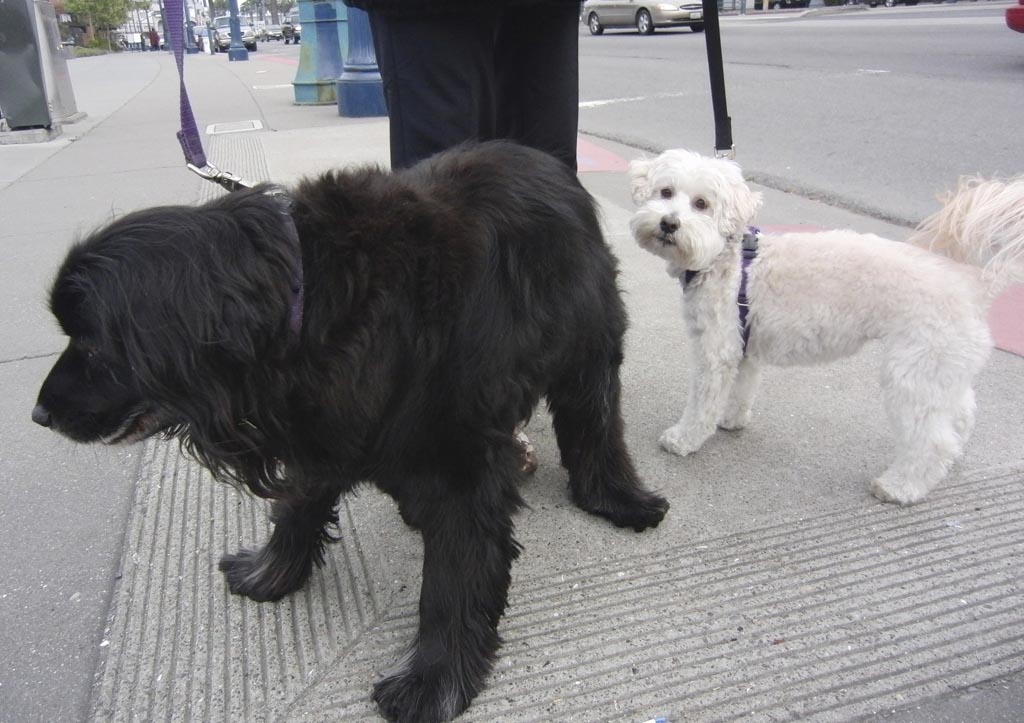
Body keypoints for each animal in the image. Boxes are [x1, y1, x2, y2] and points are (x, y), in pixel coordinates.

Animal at [32, 139, 667, 716]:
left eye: (91, 343)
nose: (37, 415)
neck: (302, 300)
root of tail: (545, 160)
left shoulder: (459, 458)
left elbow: (453, 578)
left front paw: (432, 681)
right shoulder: (325, 427)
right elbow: (298, 508)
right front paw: (269, 573)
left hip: (587, 347)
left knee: (596, 424)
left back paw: (618, 497)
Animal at [630, 147, 1024, 501]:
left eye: (702, 204)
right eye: (665, 193)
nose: (669, 223)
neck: (723, 260)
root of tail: (972, 283)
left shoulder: (716, 352)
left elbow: (701, 403)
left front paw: (683, 439)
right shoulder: (744, 347)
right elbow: (741, 390)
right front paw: (731, 420)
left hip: (913, 371)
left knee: (933, 441)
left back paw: (900, 487)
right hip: (941, 369)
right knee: (961, 414)